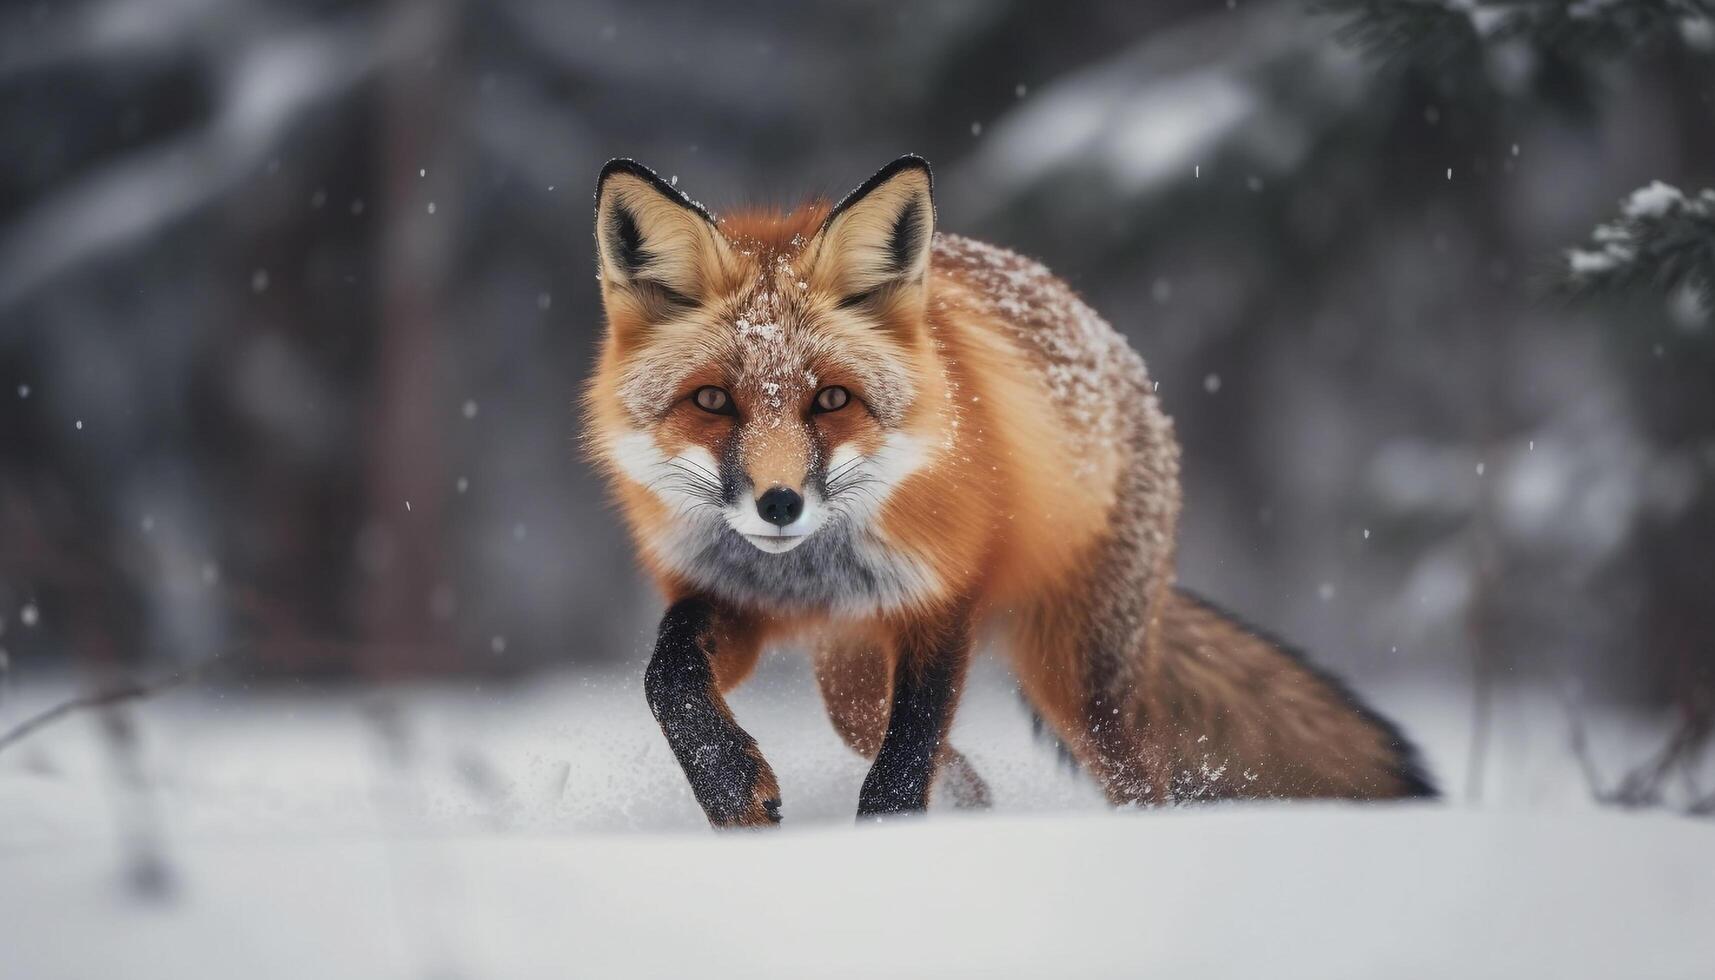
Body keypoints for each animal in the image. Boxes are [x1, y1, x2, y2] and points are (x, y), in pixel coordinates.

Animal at [589, 155, 1433, 827]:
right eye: (711, 401)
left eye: (831, 400)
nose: (779, 504)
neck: (808, 575)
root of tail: (1114, 347)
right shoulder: (727, 597)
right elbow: (668, 679)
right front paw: (730, 788)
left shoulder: (942, 603)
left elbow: (907, 757)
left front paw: (884, 841)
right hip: (853, 688)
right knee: (943, 760)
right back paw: (974, 807)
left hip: (1083, 687)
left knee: (1142, 780)